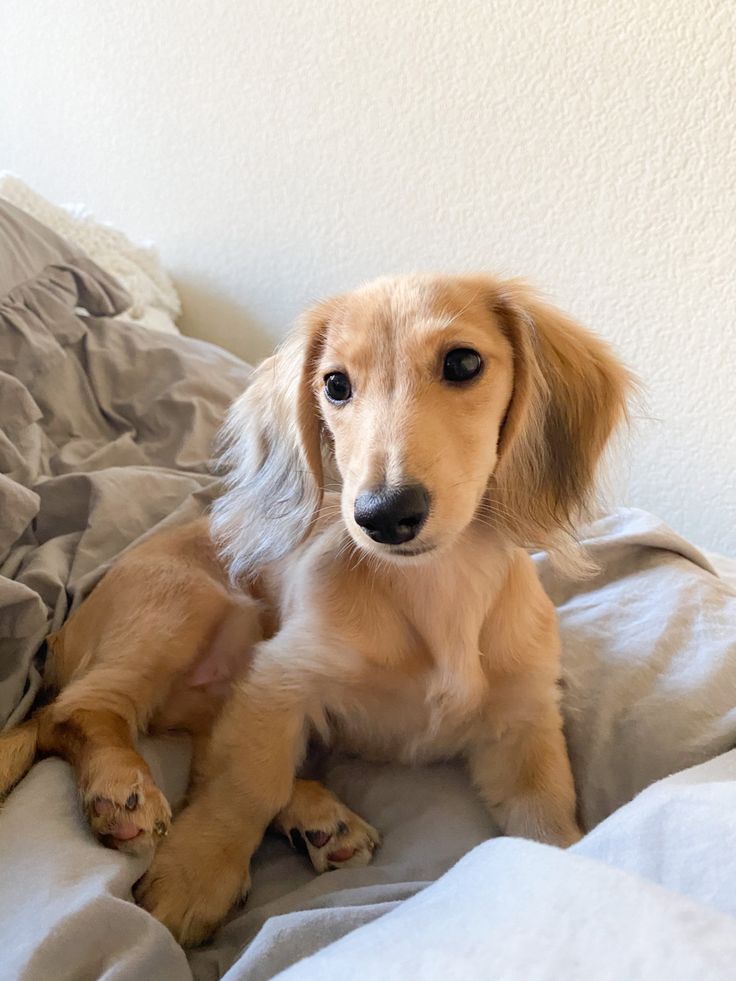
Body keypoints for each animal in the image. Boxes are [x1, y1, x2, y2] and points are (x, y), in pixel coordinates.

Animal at [0, 274, 632, 940]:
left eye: (463, 362)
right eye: (335, 385)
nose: (383, 515)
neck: (435, 590)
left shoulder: (523, 725)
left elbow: (547, 822)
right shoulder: (278, 678)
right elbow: (246, 785)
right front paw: (195, 875)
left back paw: (318, 819)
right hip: (181, 604)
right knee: (74, 712)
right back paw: (123, 786)